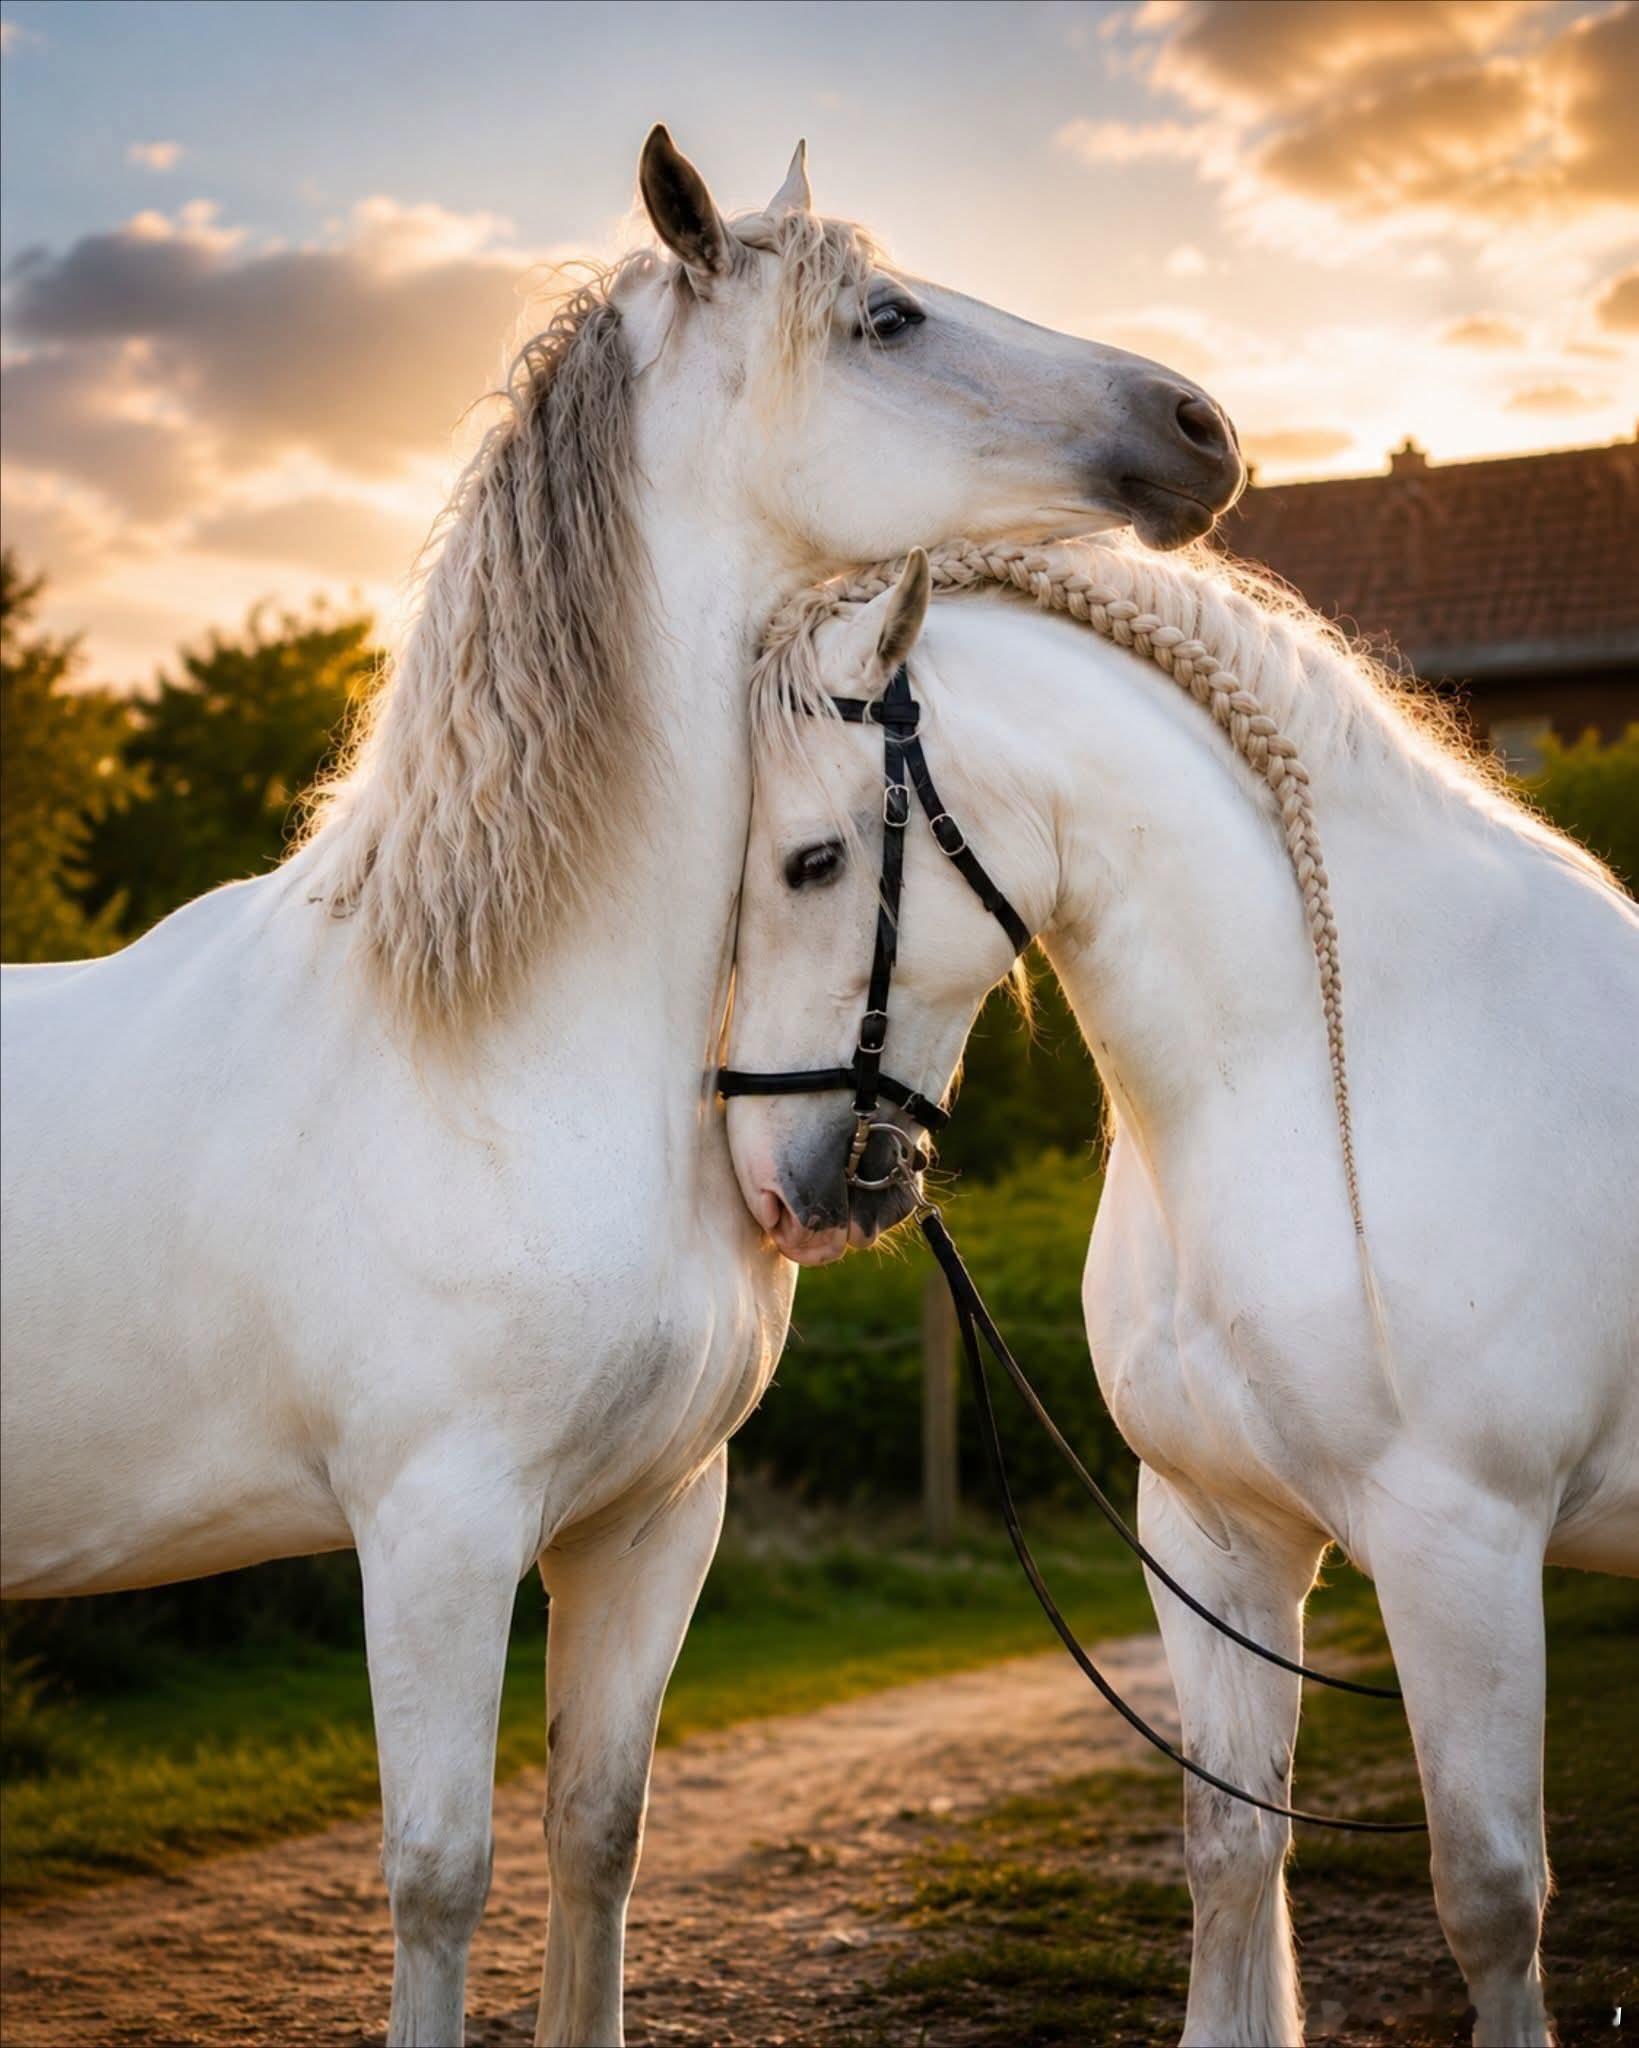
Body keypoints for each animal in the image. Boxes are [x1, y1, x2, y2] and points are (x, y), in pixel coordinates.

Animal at [0, 133, 1244, 2045]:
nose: (1197, 425)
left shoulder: (650, 1521)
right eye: (887, 318)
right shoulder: (434, 1530)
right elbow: (440, 1874)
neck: (493, 1045)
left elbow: (596, 1831)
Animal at [722, 542, 1639, 2047]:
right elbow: (1230, 1848)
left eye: (811, 861)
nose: (774, 1189)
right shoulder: (1212, 1533)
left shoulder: (1464, 1548)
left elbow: (1489, 1895)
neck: (1316, 1077)